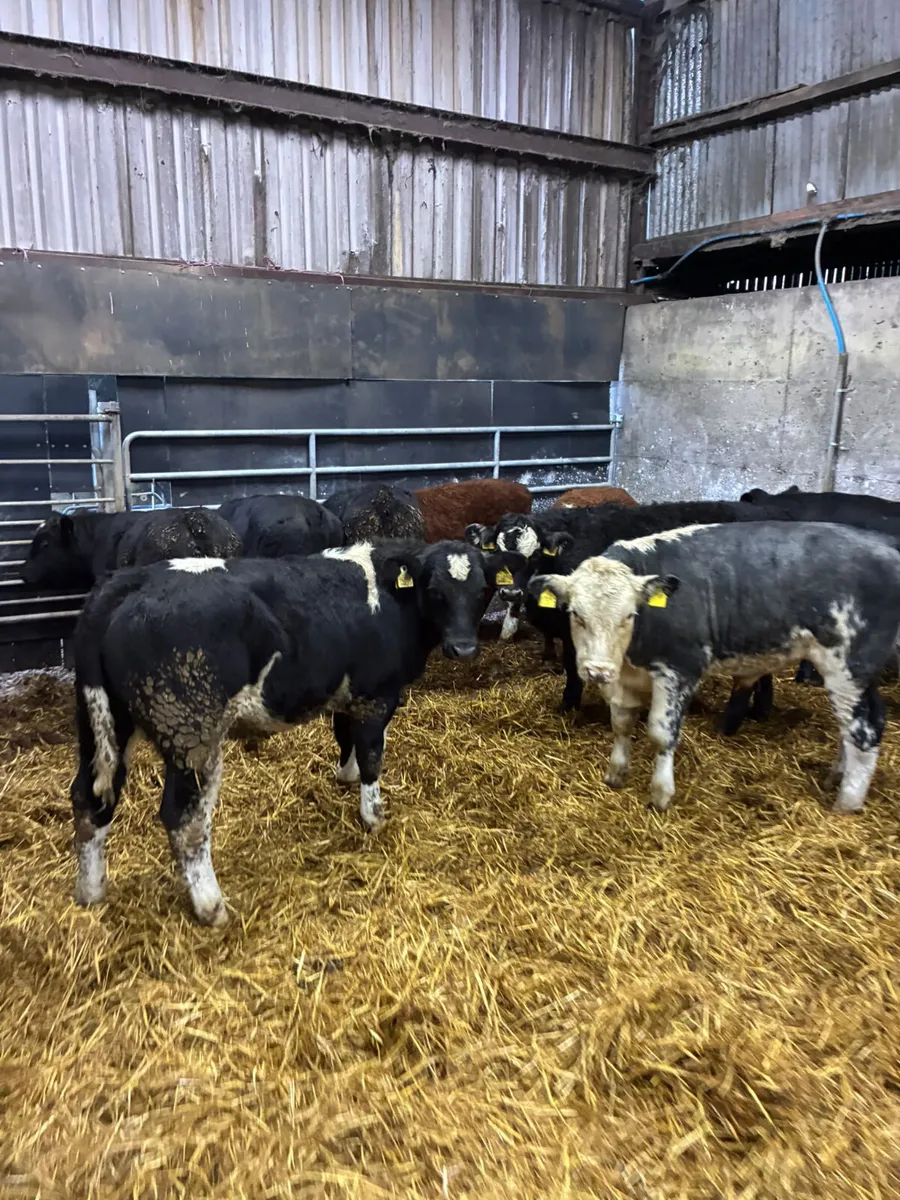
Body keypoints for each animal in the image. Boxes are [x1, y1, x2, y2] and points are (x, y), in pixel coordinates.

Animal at [69, 539, 487, 926]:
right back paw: (211, 907)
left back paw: (91, 892)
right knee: (184, 820)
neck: (392, 599)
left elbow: (345, 736)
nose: (463, 647)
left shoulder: (345, 691)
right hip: (190, 733)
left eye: (482, 590)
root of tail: (129, 581)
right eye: (435, 589)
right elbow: (371, 754)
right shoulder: (377, 695)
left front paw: (346, 776)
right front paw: (373, 817)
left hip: (104, 725)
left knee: (90, 799)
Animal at [529, 521, 900, 814]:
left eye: (630, 615)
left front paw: (661, 795)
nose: (597, 671)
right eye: (575, 613)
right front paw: (616, 775)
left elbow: (661, 733)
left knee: (865, 729)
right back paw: (835, 778)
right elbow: (621, 724)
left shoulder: (679, 670)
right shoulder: (624, 678)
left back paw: (845, 804)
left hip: (849, 666)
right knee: (855, 726)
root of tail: (885, 545)